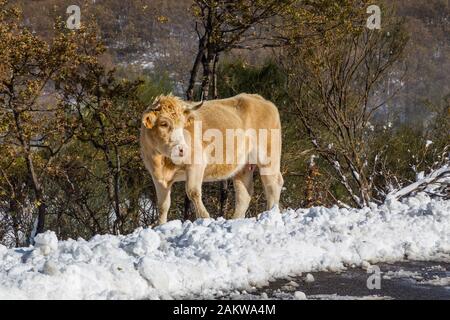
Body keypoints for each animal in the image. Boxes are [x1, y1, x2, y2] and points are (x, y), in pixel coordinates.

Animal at [139, 92, 284, 224]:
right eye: (163, 123)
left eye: (182, 124)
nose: (182, 149)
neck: (162, 161)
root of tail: (259, 99)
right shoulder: (157, 177)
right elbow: (163, 205)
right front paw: (161, 225)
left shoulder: (196, 164)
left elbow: (192, 191)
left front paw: (204, 217)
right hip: (243, 167)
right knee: (244, 194)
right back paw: (235, 220)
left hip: (268, 157)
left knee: (273, 184)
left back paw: (271, 212)